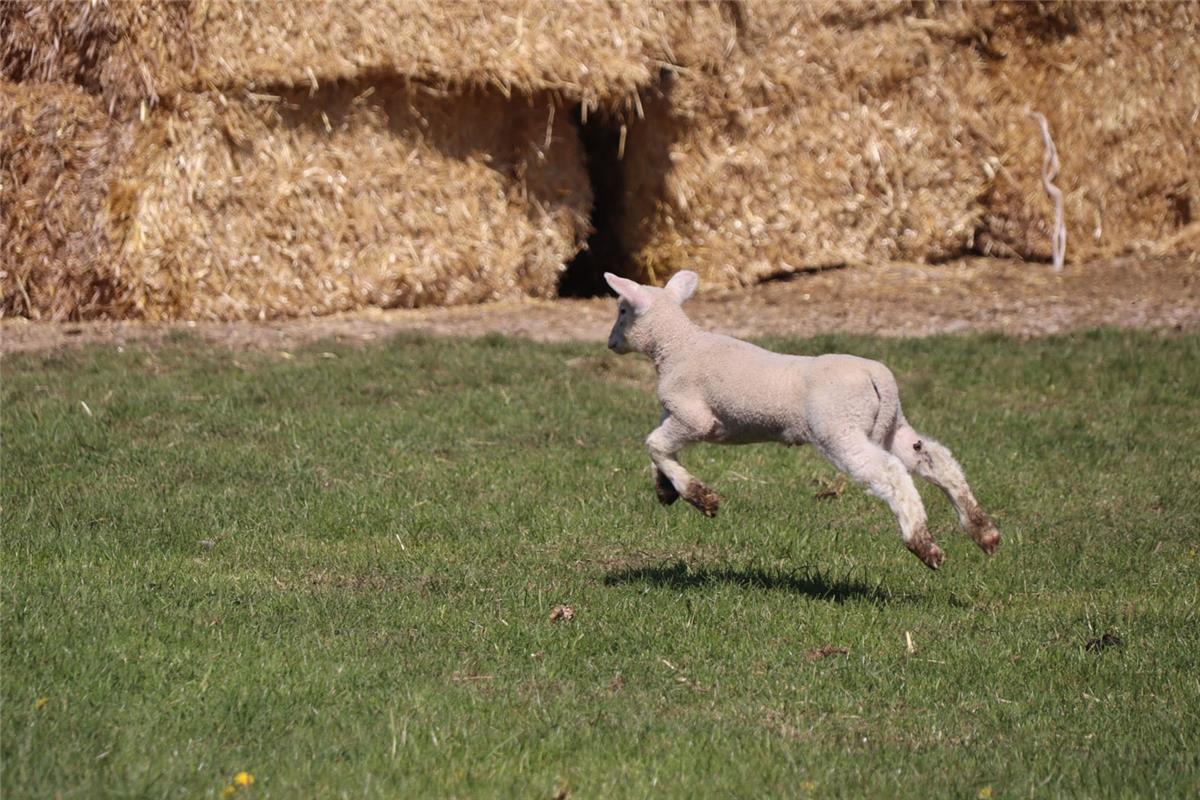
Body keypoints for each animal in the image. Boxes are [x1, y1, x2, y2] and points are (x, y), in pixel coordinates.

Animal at [600, 272, 1003, 573]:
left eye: (622, 309)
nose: (610, 343)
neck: (678, 345)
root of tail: (879, 379)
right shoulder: (675, 414)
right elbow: (660, 445)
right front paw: (665, 488)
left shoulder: (694, 416)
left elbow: (654, 443)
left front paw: (700, 497)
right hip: (890, 426)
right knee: (936, 460)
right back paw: (983, 531)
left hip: (840, 430)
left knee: (890, 473)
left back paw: (923, 544)